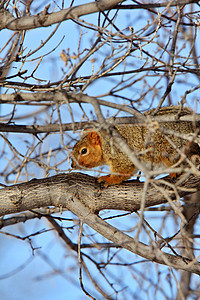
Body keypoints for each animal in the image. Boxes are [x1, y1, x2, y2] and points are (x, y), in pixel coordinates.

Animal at [71, 105, 199, 185]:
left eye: (83, 151)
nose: (72, 165)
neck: (104, 145)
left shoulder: (120, 154)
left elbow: (123, 171)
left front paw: (108, 179)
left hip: (171, 147)